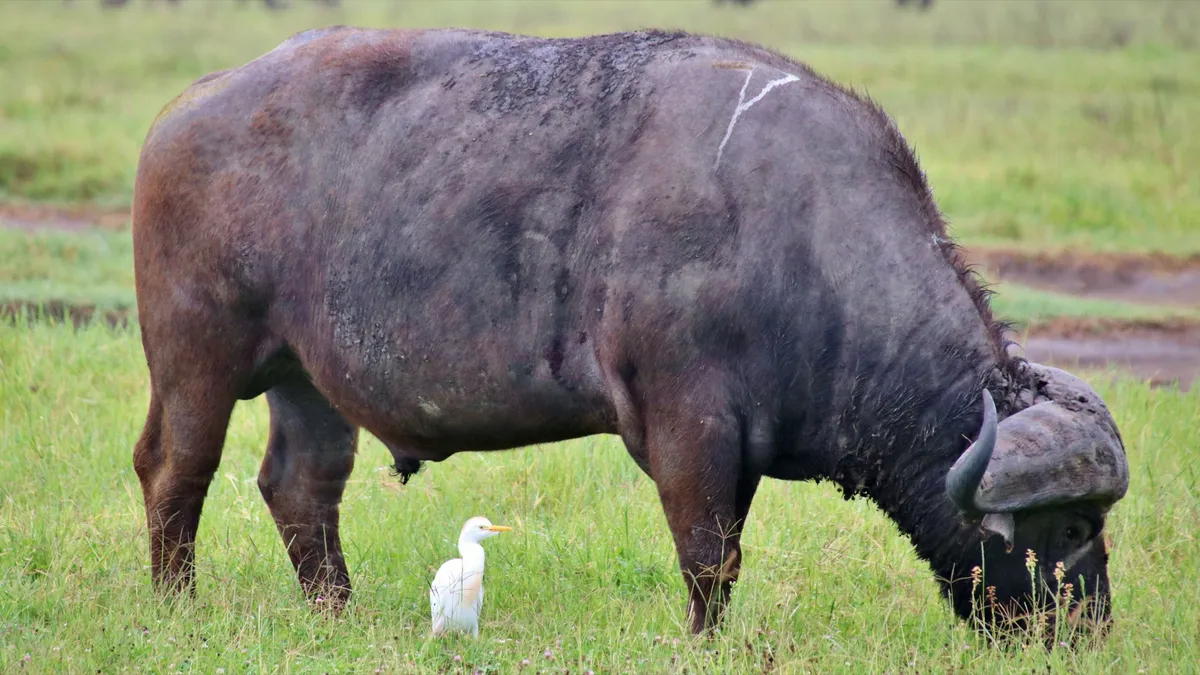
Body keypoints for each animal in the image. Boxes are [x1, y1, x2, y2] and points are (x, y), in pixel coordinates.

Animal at [130, 27, 1128, 640]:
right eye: (1074, 523)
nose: (1088, 630)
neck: (799, 235)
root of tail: (187, 109)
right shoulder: (690, 426)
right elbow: (709, 556)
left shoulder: (740, 450)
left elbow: (722, 551)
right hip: (196, 357)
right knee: (176, 468)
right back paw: (177, 604)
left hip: (306, 376)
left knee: (300, 484)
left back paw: (337, 611)